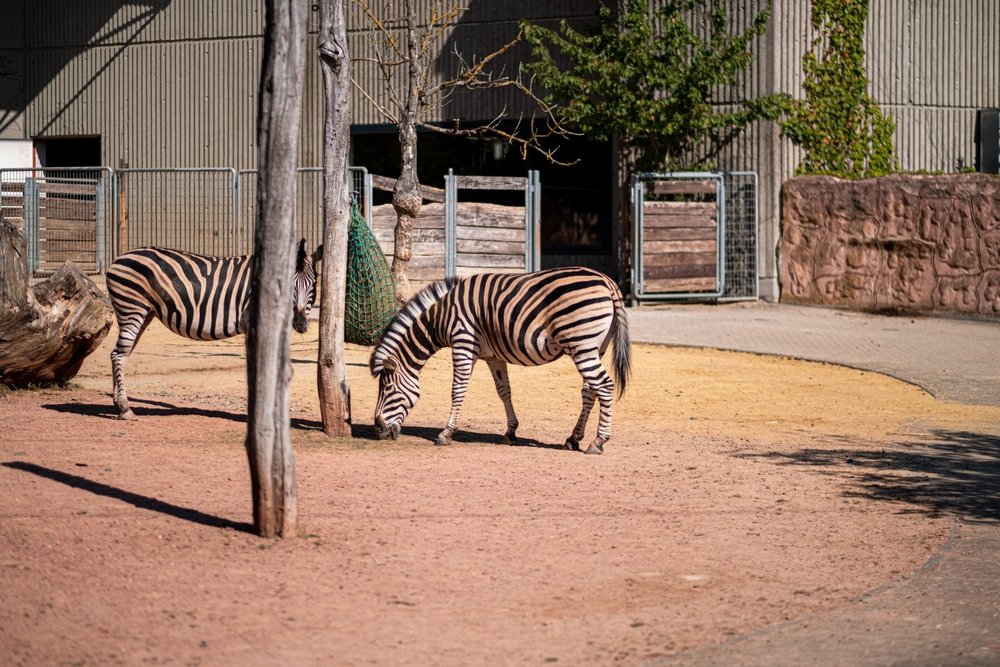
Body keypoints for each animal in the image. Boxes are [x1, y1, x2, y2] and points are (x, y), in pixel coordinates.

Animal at [104, 237, 320, 420]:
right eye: (291, 286)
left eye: (313, 285)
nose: (300, 324)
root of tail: (118, 259)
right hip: (132, 308)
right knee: (118, 355)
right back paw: (125, 408)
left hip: (143, 313)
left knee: (119, 354)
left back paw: (117, 403)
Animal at [368, 266, 632, 454]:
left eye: (387, 388)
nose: (378, 430)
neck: (440, 318)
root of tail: (607, 281)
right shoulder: (493, 356)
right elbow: (504, 391)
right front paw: (510, 432)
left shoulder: (463, 341)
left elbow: (457, 390)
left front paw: (446, 433)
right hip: (593, 347)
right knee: (590, 390)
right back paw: (573, 438)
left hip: (581, 344)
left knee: (604, 386)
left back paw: (598, 442)